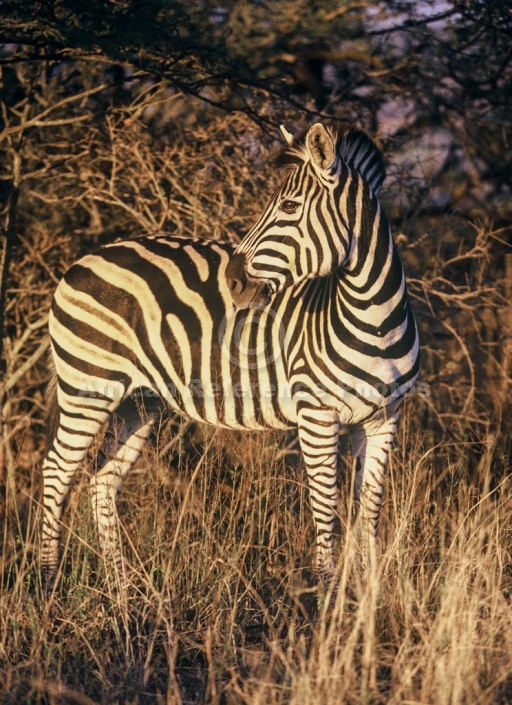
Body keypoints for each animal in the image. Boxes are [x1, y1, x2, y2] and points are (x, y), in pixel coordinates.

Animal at [41, 121, 420, 588]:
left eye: (290, 206)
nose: (233, 282)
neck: (374, 318)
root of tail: (80, 262)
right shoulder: (317, 415)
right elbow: (325, 506)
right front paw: (325, 592)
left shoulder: (385, 418)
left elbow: (369, 509)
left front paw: (370, 593)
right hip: (88, 386)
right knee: (56, 470)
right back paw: (49, 582)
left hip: (138, 401)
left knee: (102, 480)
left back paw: (122, 589)